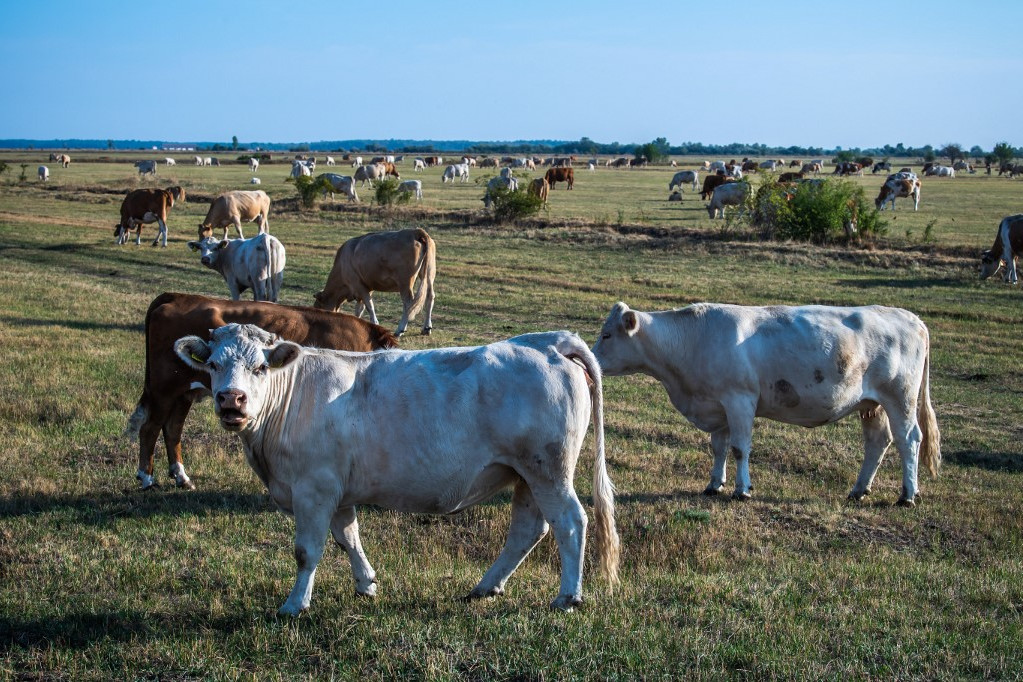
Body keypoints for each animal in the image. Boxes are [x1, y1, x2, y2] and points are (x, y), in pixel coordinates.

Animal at [124, 294, 398, 490]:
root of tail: (177, 297)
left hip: (184, 394)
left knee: (172, 429)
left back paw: (181, 477)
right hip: (164, 391)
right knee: (150, 428)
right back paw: (147, 478)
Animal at [173, 323, 621, 617]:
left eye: (261, 368)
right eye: (212, 364)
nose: (231, 399)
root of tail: (548, 341)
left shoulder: (313, 489)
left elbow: (307, 551)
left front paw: (294, 605)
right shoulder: (338, 490)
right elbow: (348, 537)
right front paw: (366, 584)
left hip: (548, 470)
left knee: (570, 522)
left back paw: (567, 597)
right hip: (526, 475)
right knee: (529, 529)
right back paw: (485, 587)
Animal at [593, 300, 941, 505]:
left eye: (607, 335)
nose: (591, 361)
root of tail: (911, 318)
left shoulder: (740, 399)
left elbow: (739, 448)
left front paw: (742, 489)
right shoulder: (716, 404)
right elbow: (719, 447)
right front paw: (713, 484)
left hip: (900, 397)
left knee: (909, 439)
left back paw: (908, 494)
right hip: (872, 404)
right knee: (877, 442)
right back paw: (859, 490)